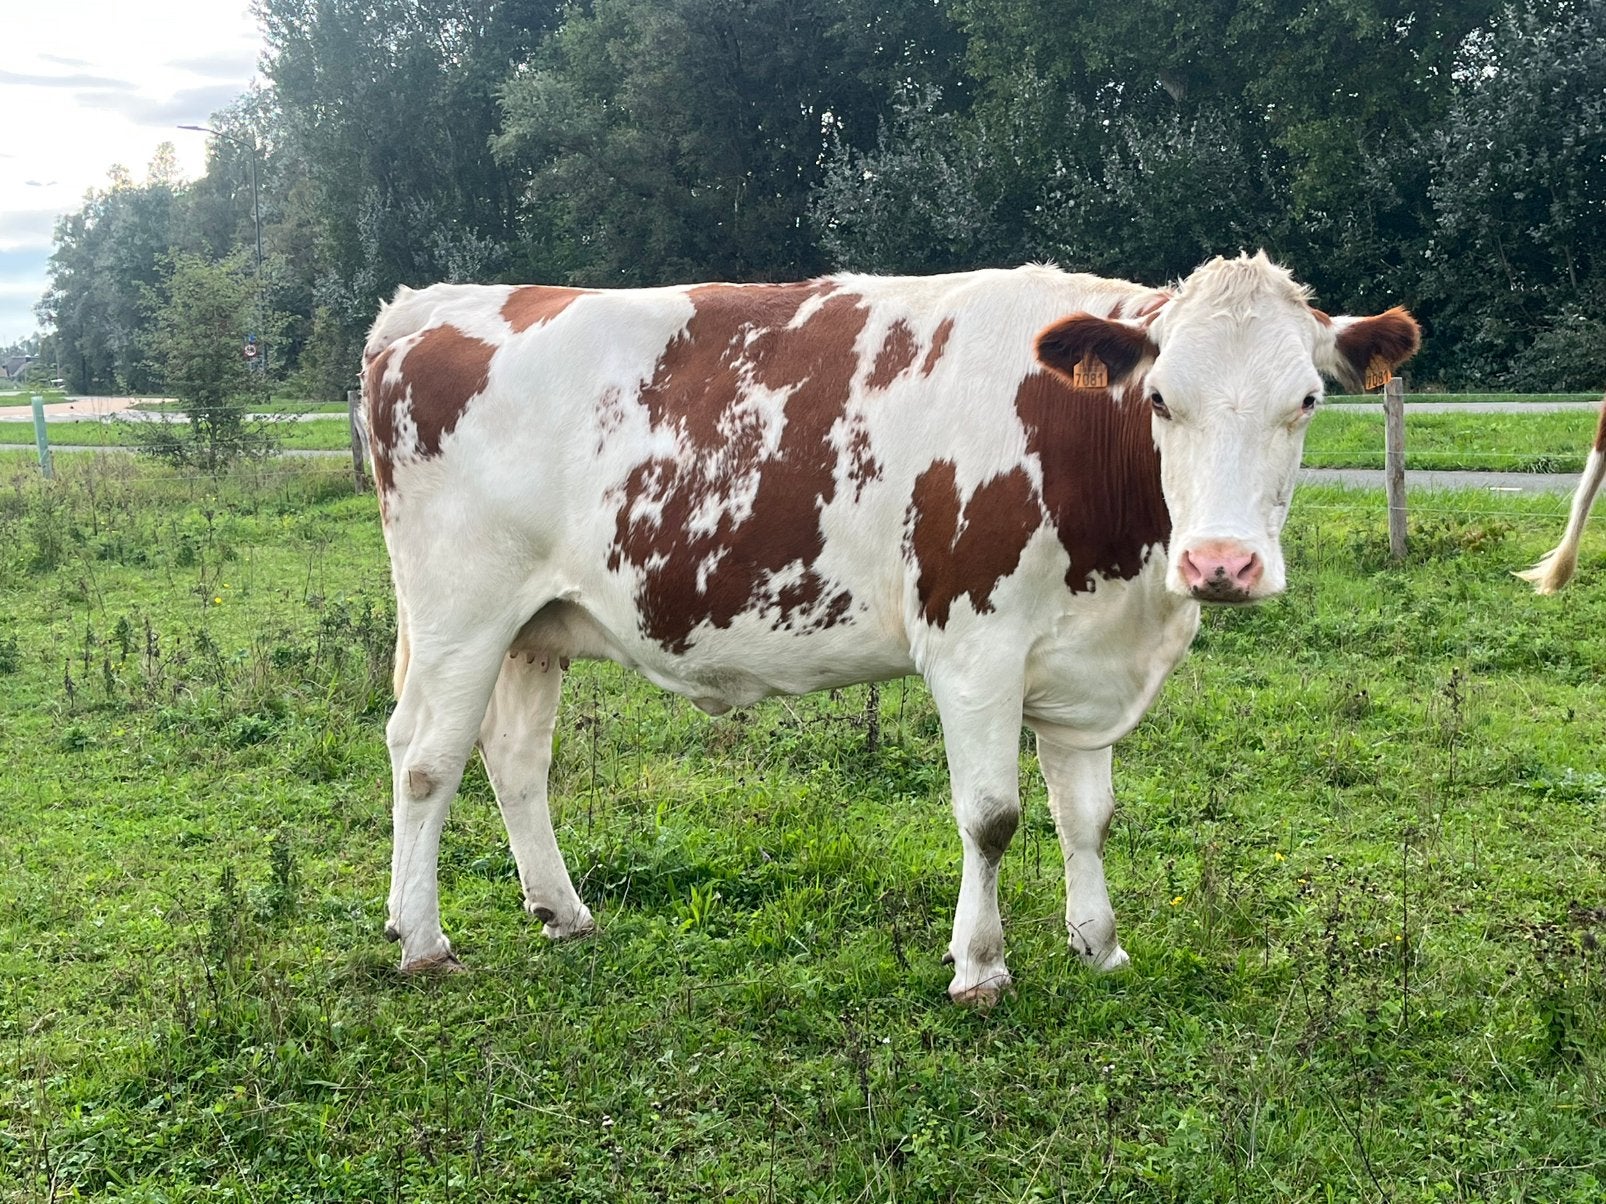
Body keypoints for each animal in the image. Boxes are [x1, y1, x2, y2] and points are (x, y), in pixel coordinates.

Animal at [363, 252, 1420, 1003]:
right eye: (1161, 399)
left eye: (1308, 402)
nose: (1221, 564)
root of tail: (430, 304)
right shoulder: (974, 642)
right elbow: (991, 816)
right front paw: (981, 968)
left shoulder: (1083, 657)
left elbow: (1088, 816)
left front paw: (1100, 946)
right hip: (460, 608)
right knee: (423, 757)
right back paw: (422, 941)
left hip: (535, 623)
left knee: (513, 759)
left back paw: (563, 911)